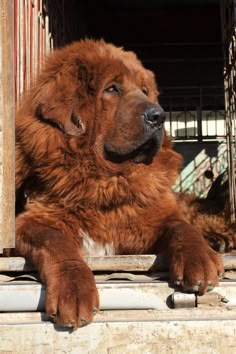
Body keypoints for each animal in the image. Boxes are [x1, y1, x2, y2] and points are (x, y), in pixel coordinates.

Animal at [16, 40, 223, 330]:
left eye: (145, 90)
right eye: (112, 89)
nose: (159, 116)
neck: (109, 180)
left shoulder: (157, 217)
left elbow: (183, 228)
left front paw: (201, 257)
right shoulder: (32, 221)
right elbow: (56, 242)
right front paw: (74, 289)